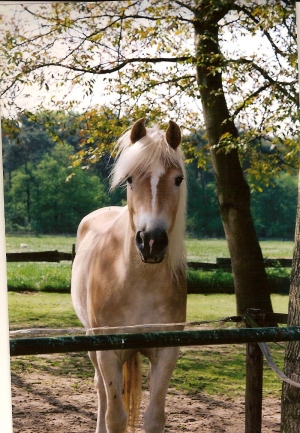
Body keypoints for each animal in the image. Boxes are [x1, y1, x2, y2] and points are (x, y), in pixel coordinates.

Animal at [71, 118, 186, 432]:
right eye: (130, 179)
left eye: (178, 179)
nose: (151, 241)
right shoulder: (107, 352)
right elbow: (115, 416)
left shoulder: (166, 353)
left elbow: (155, 417)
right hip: (92, 342)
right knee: (100, 389)